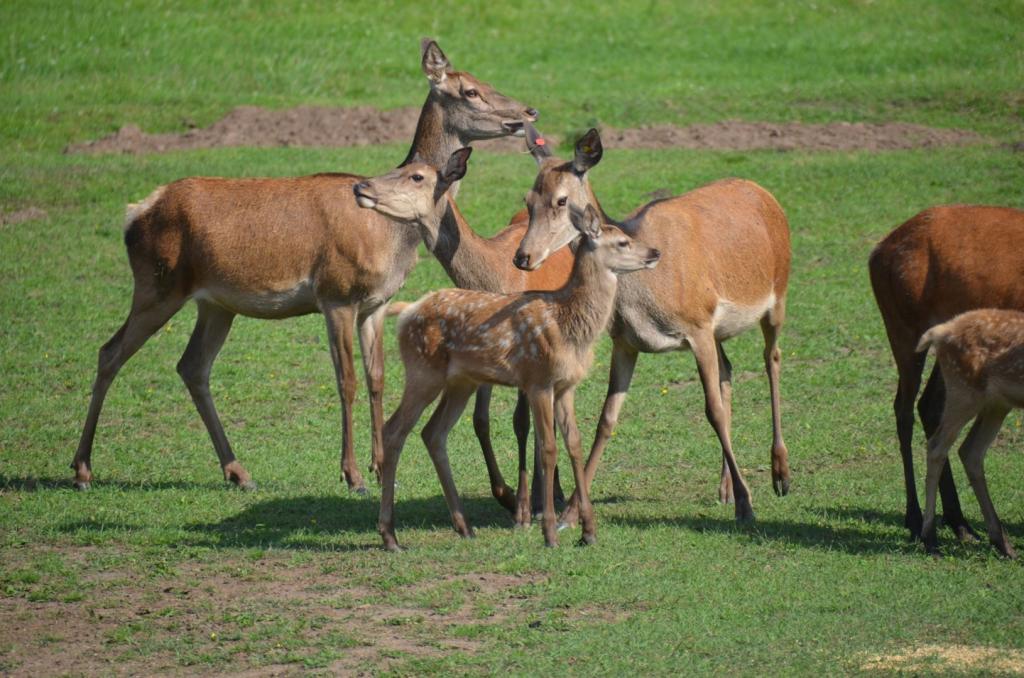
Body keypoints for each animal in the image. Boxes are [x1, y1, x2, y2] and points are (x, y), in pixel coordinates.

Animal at [71, 38, 536, 493]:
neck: (392, 234)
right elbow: (346, 380)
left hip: (215, 303)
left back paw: (237, 471)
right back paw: (82, 469)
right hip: (157, 285)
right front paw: (352, 475)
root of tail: (135, 212)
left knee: (192, 366)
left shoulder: (378, 303)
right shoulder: (336, 294)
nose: (529, 112)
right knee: (110, 352)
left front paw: (380, 467)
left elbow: (377, 378)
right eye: (470, 90)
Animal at [354, 150, 663, 553]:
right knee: (396, 430)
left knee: (433, 433)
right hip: (424, 373)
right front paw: (543, 526)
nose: (654, 252)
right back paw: (391, 535)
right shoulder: (538, 379)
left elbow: (572, 443)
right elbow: (543, 443)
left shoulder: (564, 385)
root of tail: (407, 311)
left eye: (416, 175)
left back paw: (464, 524)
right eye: (623, 243)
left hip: (460, 382)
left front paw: (585, 528)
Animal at [516, 129, 794, 532]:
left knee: (771, 359)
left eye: (561, 200)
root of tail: (764, 192)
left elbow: (712, 410)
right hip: (720, 331)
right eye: (528, 199)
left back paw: (780, 474)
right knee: (728, 372)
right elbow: (606, 419)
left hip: (777, 296)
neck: (643, 295)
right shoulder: (625, 342)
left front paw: (747, 504)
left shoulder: (697, 324)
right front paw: (570, 513)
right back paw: (725, 487)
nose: (523, 256)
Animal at [917, 311, 1024, 561]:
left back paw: (1003, 544)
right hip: (963, 390)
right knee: (937, 446)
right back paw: (929, 538)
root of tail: (940, 331)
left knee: (970, 451)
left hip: (996, 403)